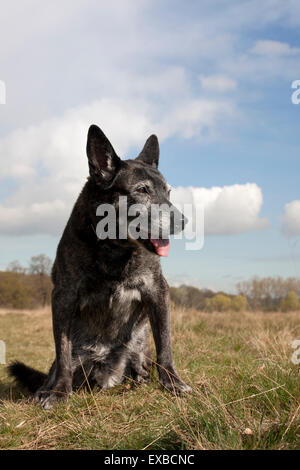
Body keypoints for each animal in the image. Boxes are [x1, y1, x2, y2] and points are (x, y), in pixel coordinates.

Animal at [9, 124, 192, 408]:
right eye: (142, 190)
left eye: (168, 192)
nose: (183, 222)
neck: (115, 249)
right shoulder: (63, 296)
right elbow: (62, 350)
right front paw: (59, 392)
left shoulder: (157, 290)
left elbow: (165, 344)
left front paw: (172, 382)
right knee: (56, 368)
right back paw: (46, 388)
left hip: (137, 350)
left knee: (140, 367)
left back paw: (140, 381)